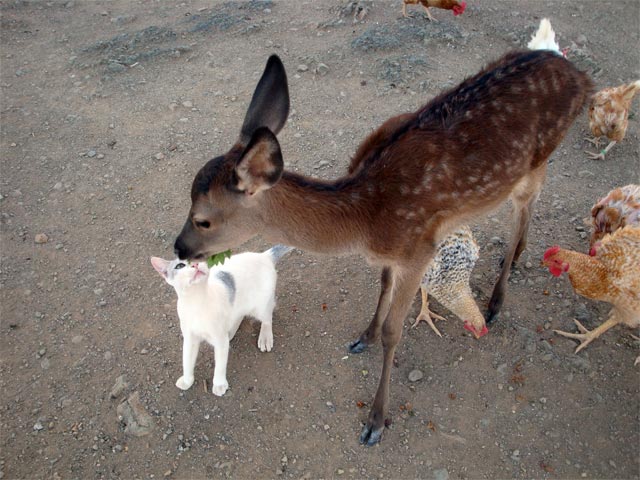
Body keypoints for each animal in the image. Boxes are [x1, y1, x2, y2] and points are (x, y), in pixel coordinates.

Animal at [150, 246, 290, 396]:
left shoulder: (220, 341)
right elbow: (186, 361)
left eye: (197, 259)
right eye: (180, 266)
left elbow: (220, 365)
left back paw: (265, 337)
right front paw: (187, 380)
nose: (195, 264)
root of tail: (264, 255)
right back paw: (231, 331)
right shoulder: (189, 338)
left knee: (268, 317)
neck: (196, 302)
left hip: (260, 307)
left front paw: (219, 384)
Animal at [172, 50, 592, 444]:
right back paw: (516, 257)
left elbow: (395, 331)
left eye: (203, 219)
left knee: (523, 211)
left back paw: (496, 299)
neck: (366, 220)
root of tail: (579, 75)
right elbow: (383, 286)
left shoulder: (420, 247)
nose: (178, 248)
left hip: (537, 158)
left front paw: (375, 421)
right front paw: (364, 337)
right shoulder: (395, 253)